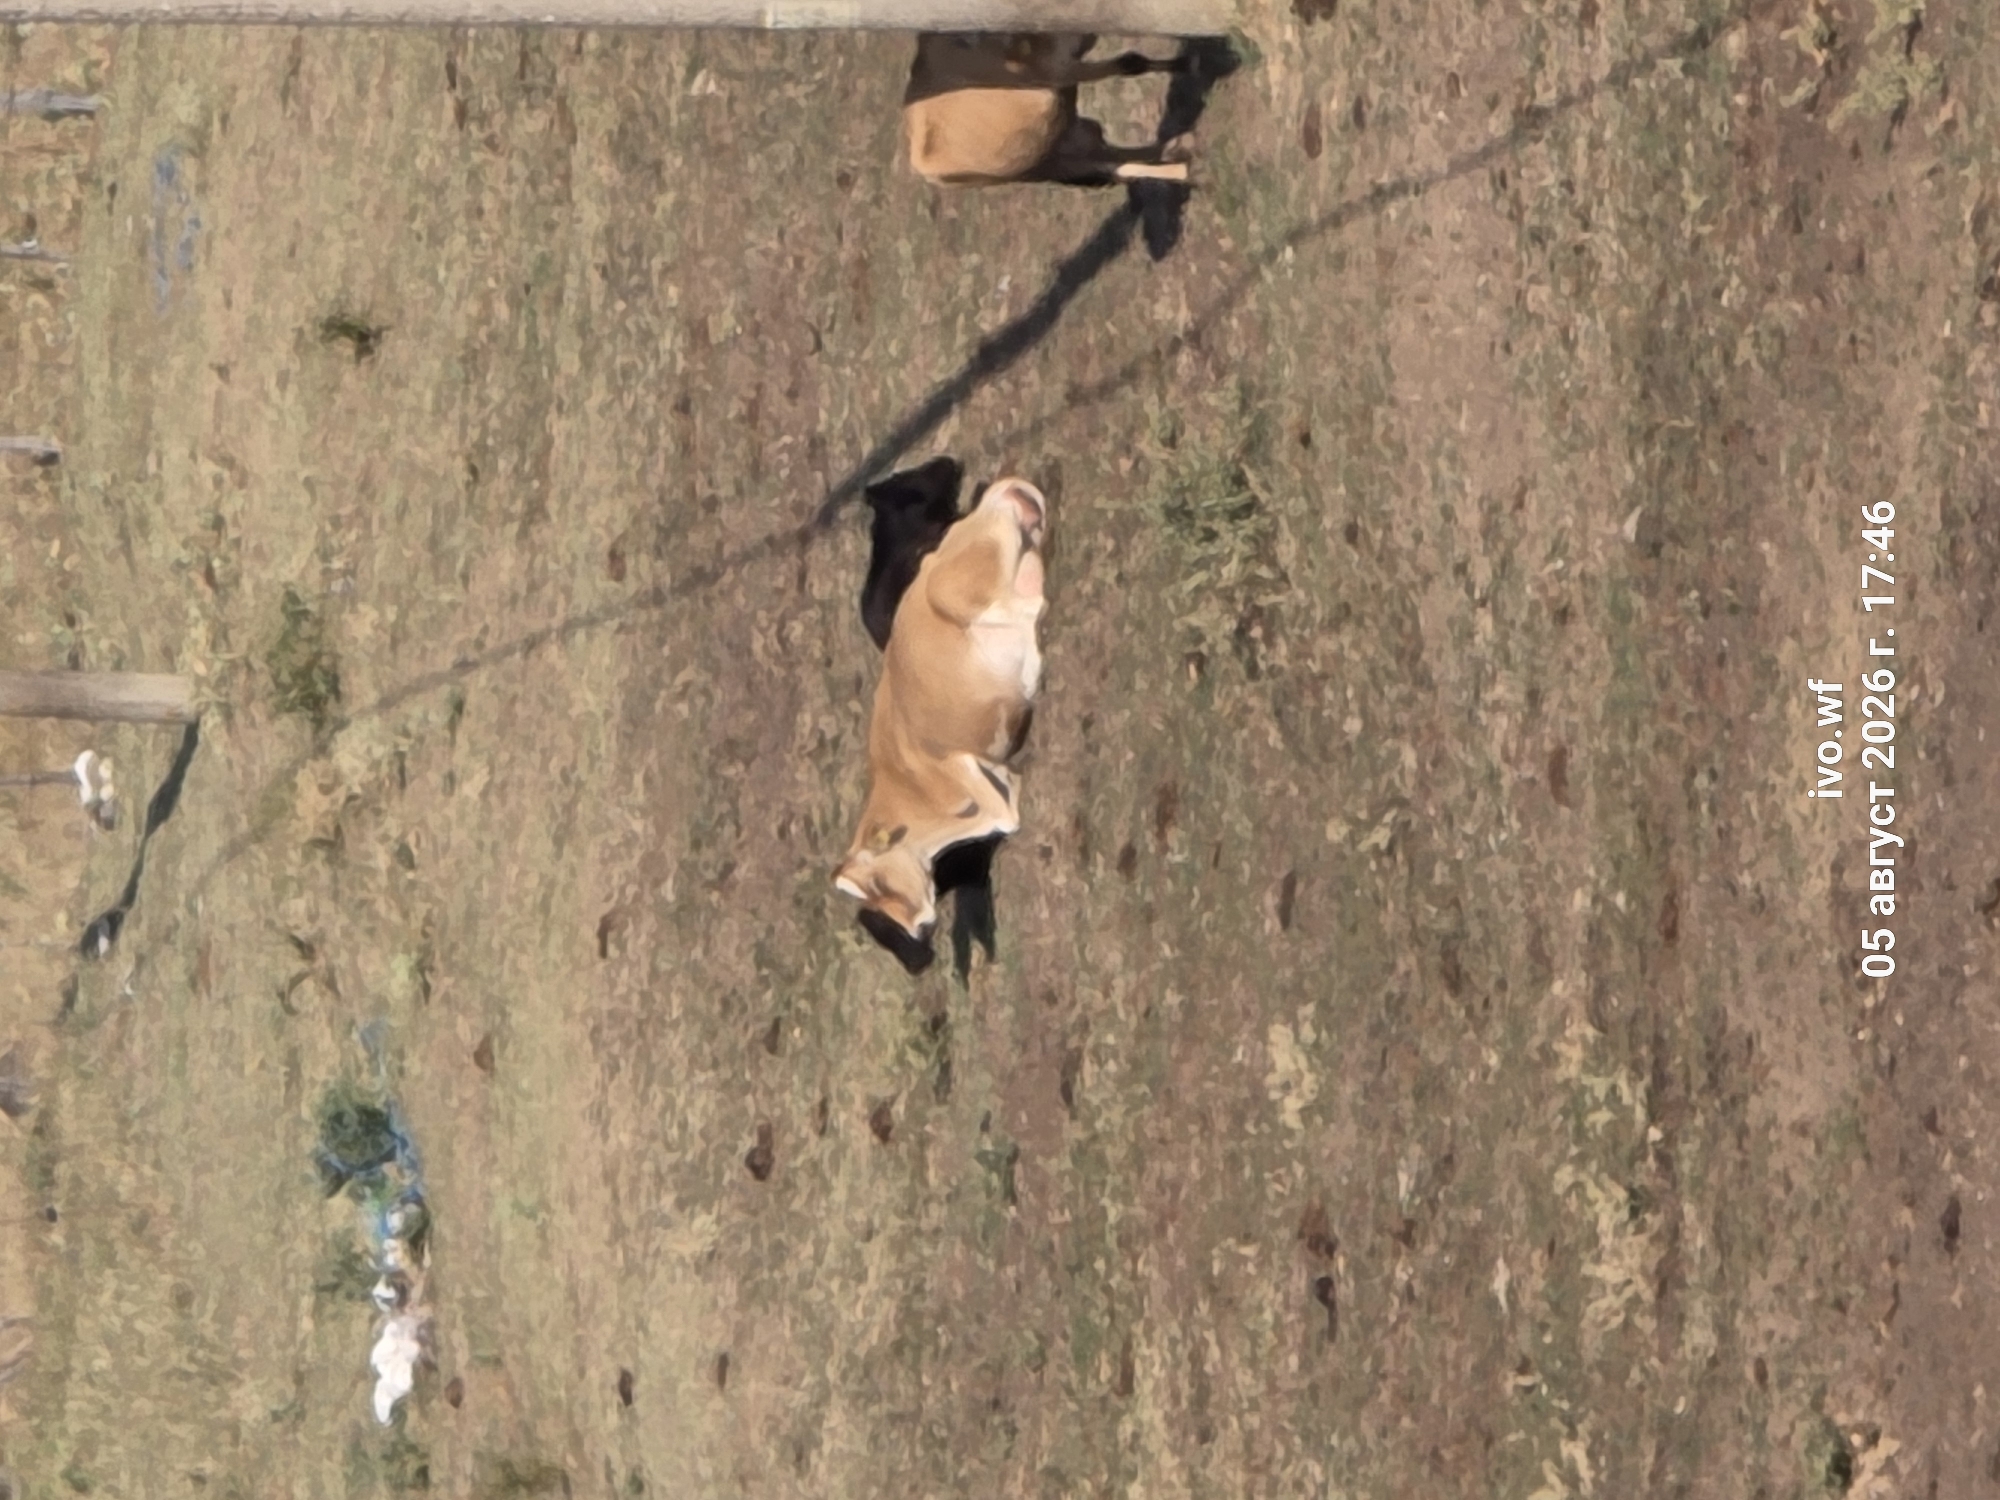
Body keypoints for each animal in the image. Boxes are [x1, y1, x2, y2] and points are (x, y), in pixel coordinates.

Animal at [837, 476, 1049, 971]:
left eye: (877, 884)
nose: (917, 927)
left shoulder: (954, 762)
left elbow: (1001, 816)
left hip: (956, 591)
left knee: (1027, 607)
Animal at [903, 33, 1191, 189]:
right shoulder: (1058, 69)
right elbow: (1129, 62)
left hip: (1059, 151)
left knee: (1111, 158)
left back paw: (1179, 149)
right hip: (1045, 160)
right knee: (1113, 164)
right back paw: (1182, 160)